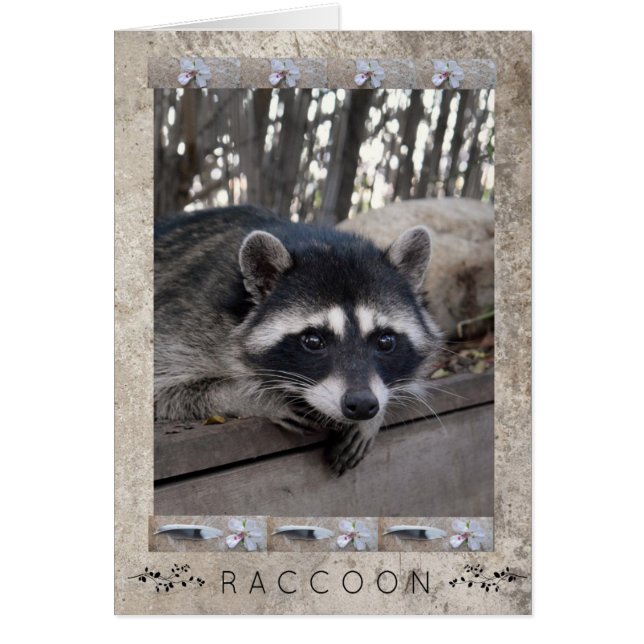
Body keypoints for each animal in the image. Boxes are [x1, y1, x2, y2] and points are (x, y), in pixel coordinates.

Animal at [154, 205, 442, 474]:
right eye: (313, 341)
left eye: (385, 342)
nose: (362, 405)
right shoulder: (187, 321)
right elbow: (164, 389)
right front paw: (254, 396)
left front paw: (374, 418)